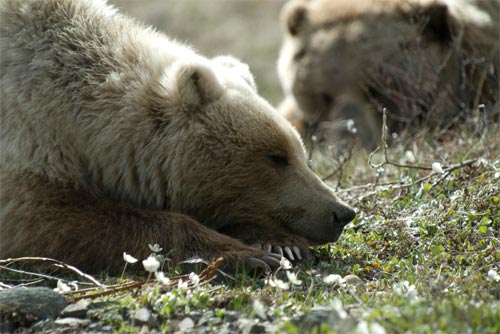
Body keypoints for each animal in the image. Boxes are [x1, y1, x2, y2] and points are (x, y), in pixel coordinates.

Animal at [0, 0, 356, 274]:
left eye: (301, 153)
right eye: (277, 157)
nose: (340, 212)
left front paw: (282, 245)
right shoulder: (26, 135)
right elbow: (44, 219)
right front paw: (247, 256)